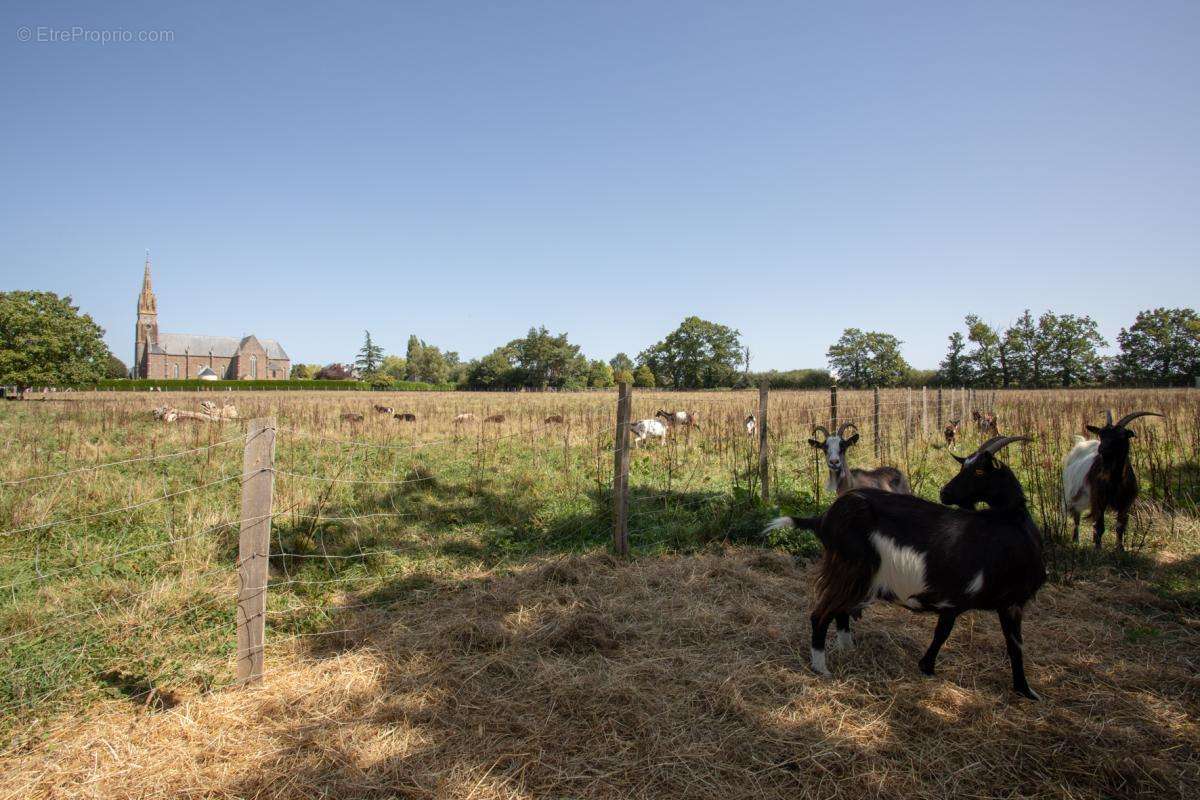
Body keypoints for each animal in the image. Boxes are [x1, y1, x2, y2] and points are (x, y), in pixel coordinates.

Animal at [768, 438, 1041, 700]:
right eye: (967, 467)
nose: (945, 493)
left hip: (852, 577)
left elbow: (1013, 644)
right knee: (821, 615)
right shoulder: (959, 596)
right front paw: (927, 667)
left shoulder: (1005, 603)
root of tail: (825, 518)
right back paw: (821, 668)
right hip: (852, 570)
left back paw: (848, 649)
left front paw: (1026, 691)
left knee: (840, 611)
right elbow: (945, 633)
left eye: (980, 470)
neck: (1011, 524)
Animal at [1070, 412, 1161, 551]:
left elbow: (1120, 527)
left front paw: (1120, 548)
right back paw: (1075, 541)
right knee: (1077, 517)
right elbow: (1100, 526)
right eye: (1101, 434)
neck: (1115, 480)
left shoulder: (1126, 503)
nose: (1102, 449)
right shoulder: (1100, 500)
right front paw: (1098, 548)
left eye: (1121, 435)